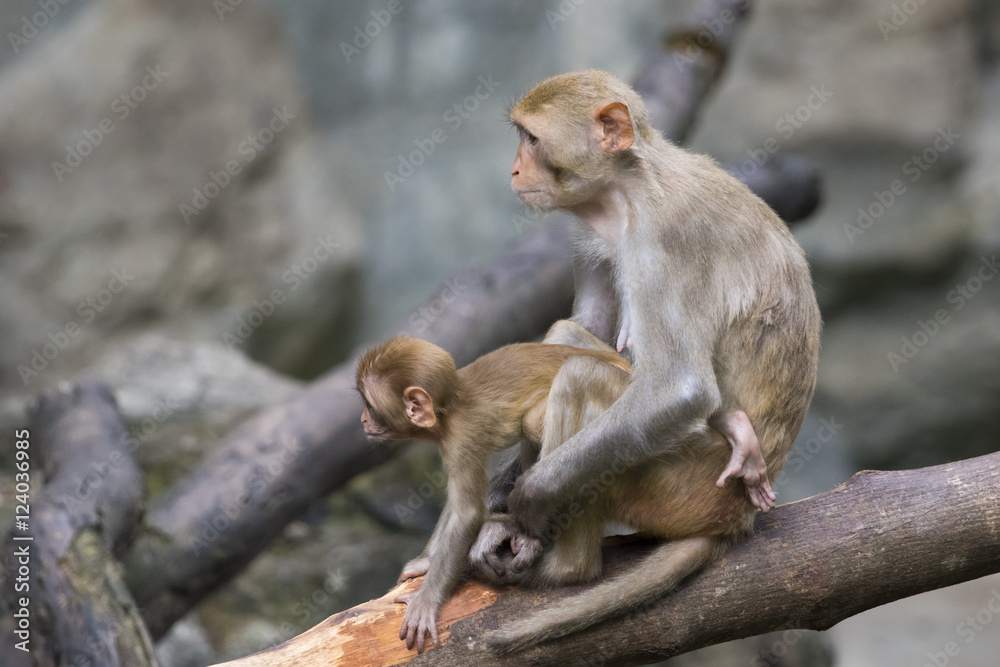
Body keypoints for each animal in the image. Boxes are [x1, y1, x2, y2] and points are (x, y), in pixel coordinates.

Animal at [356, 320, 768, 656]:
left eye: (371, 407)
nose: (361, 420)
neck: (449, 405)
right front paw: (426, 561)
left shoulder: (461, 435)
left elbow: (467, 513)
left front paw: (426, 601)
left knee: (565, 390)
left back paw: (557, 561)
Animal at [470, 72, 820, 652]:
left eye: (533, 140)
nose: (515, 170)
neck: (628, 191)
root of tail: (737, 518)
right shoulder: (589, 231)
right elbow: (589, 325)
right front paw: (502, 498)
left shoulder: (668, 240)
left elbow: (679, 387)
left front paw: (528, 501)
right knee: (568, 344)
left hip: (680, 484)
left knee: (583, 378)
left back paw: (566, 568)